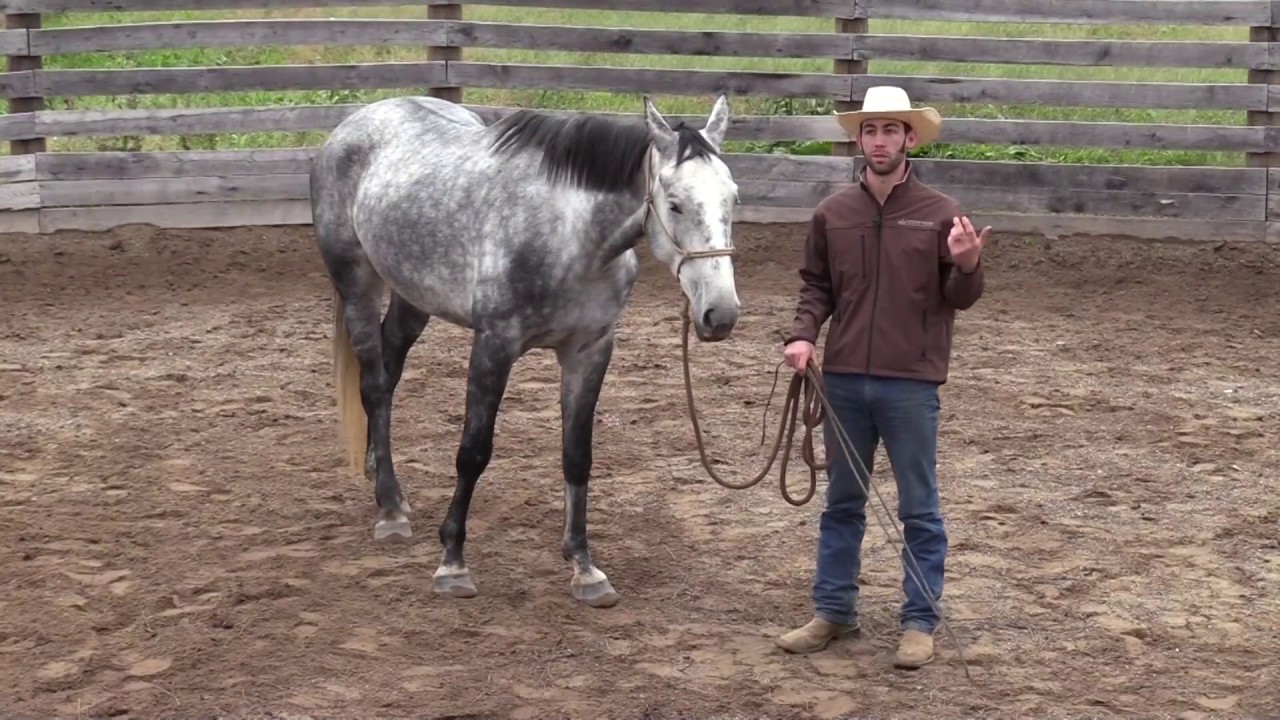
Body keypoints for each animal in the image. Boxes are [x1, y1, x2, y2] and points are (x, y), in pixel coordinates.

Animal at [309, 93, 742, 608]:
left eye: (733, 197)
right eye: (674, 204)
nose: (721, 313)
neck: (569, 236)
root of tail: (355, 123)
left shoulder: (590, 350)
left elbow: (577, 455)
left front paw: (584, 568)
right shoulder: (494, 345)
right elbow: (473, 451)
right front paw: (452, 562)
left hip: (413, 296)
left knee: (390, 371)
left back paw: (382, 478)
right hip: (357, 282)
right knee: (374, 384)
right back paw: (391, 510)